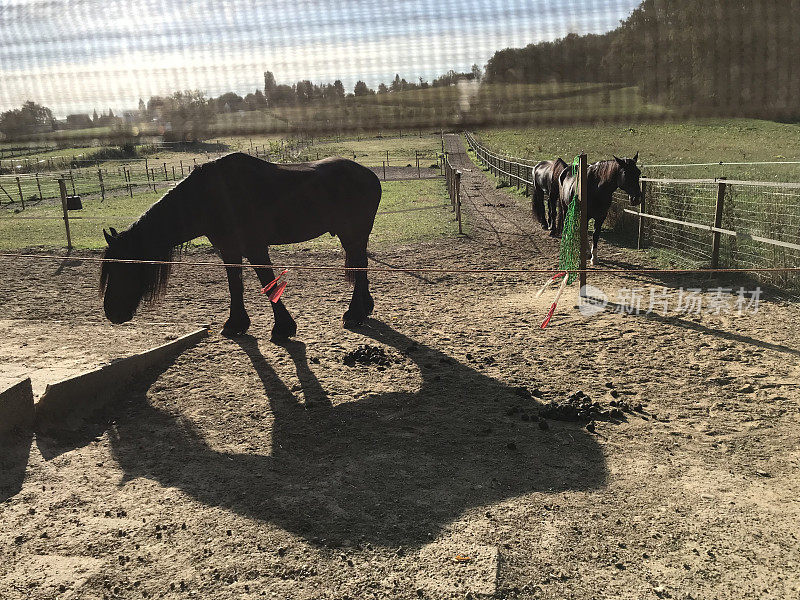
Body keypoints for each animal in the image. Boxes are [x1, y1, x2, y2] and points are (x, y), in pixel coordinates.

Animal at [100, 152, 382, 340]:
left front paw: (283, 327)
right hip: (356, 237)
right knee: (362, 266)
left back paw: (354, 314)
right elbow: (235, 286)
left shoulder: (256, 249)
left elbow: (268, 284)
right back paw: (364, 308)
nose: (111, 313)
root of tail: (369, 174)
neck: (207, 199)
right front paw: (235, 323)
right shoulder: (229, 250)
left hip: (352, 235)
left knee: (360, 267)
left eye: (122, 268)